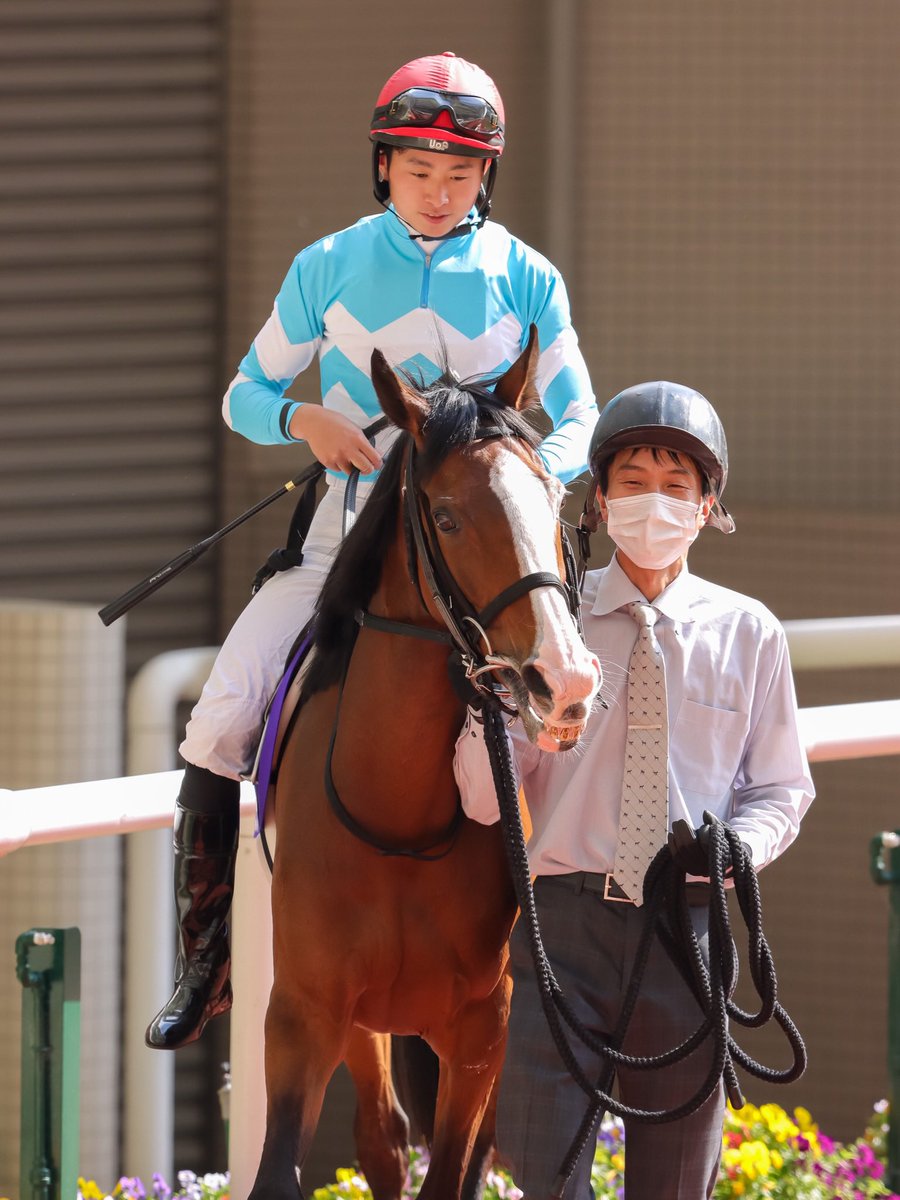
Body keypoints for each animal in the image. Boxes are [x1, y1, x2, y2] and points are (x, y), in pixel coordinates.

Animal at [248, 328, 603, 1200]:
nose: (564, 680)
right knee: (379, 1139)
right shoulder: (304, 1013)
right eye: (445, 516)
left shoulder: (483, 1028)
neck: (395, 817)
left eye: (554, 501)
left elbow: (454, 1172)